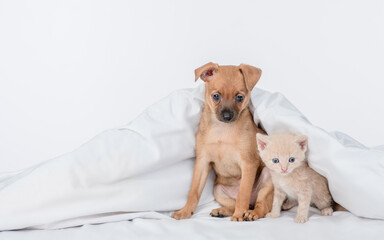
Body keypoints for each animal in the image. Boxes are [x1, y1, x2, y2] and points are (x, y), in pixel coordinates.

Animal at [171, 62, 272, 221]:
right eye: (216, 96)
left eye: (239, 97)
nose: (227, 116)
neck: (222, 130)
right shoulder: (202, 162)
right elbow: (194, 192)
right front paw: (185, 211)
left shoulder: (248, 163)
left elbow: (243, 193)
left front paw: (239, 215)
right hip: (218, 190)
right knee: (233, 204)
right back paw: (222, 211)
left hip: (268, 177)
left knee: (261, 205)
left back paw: (250, 213)